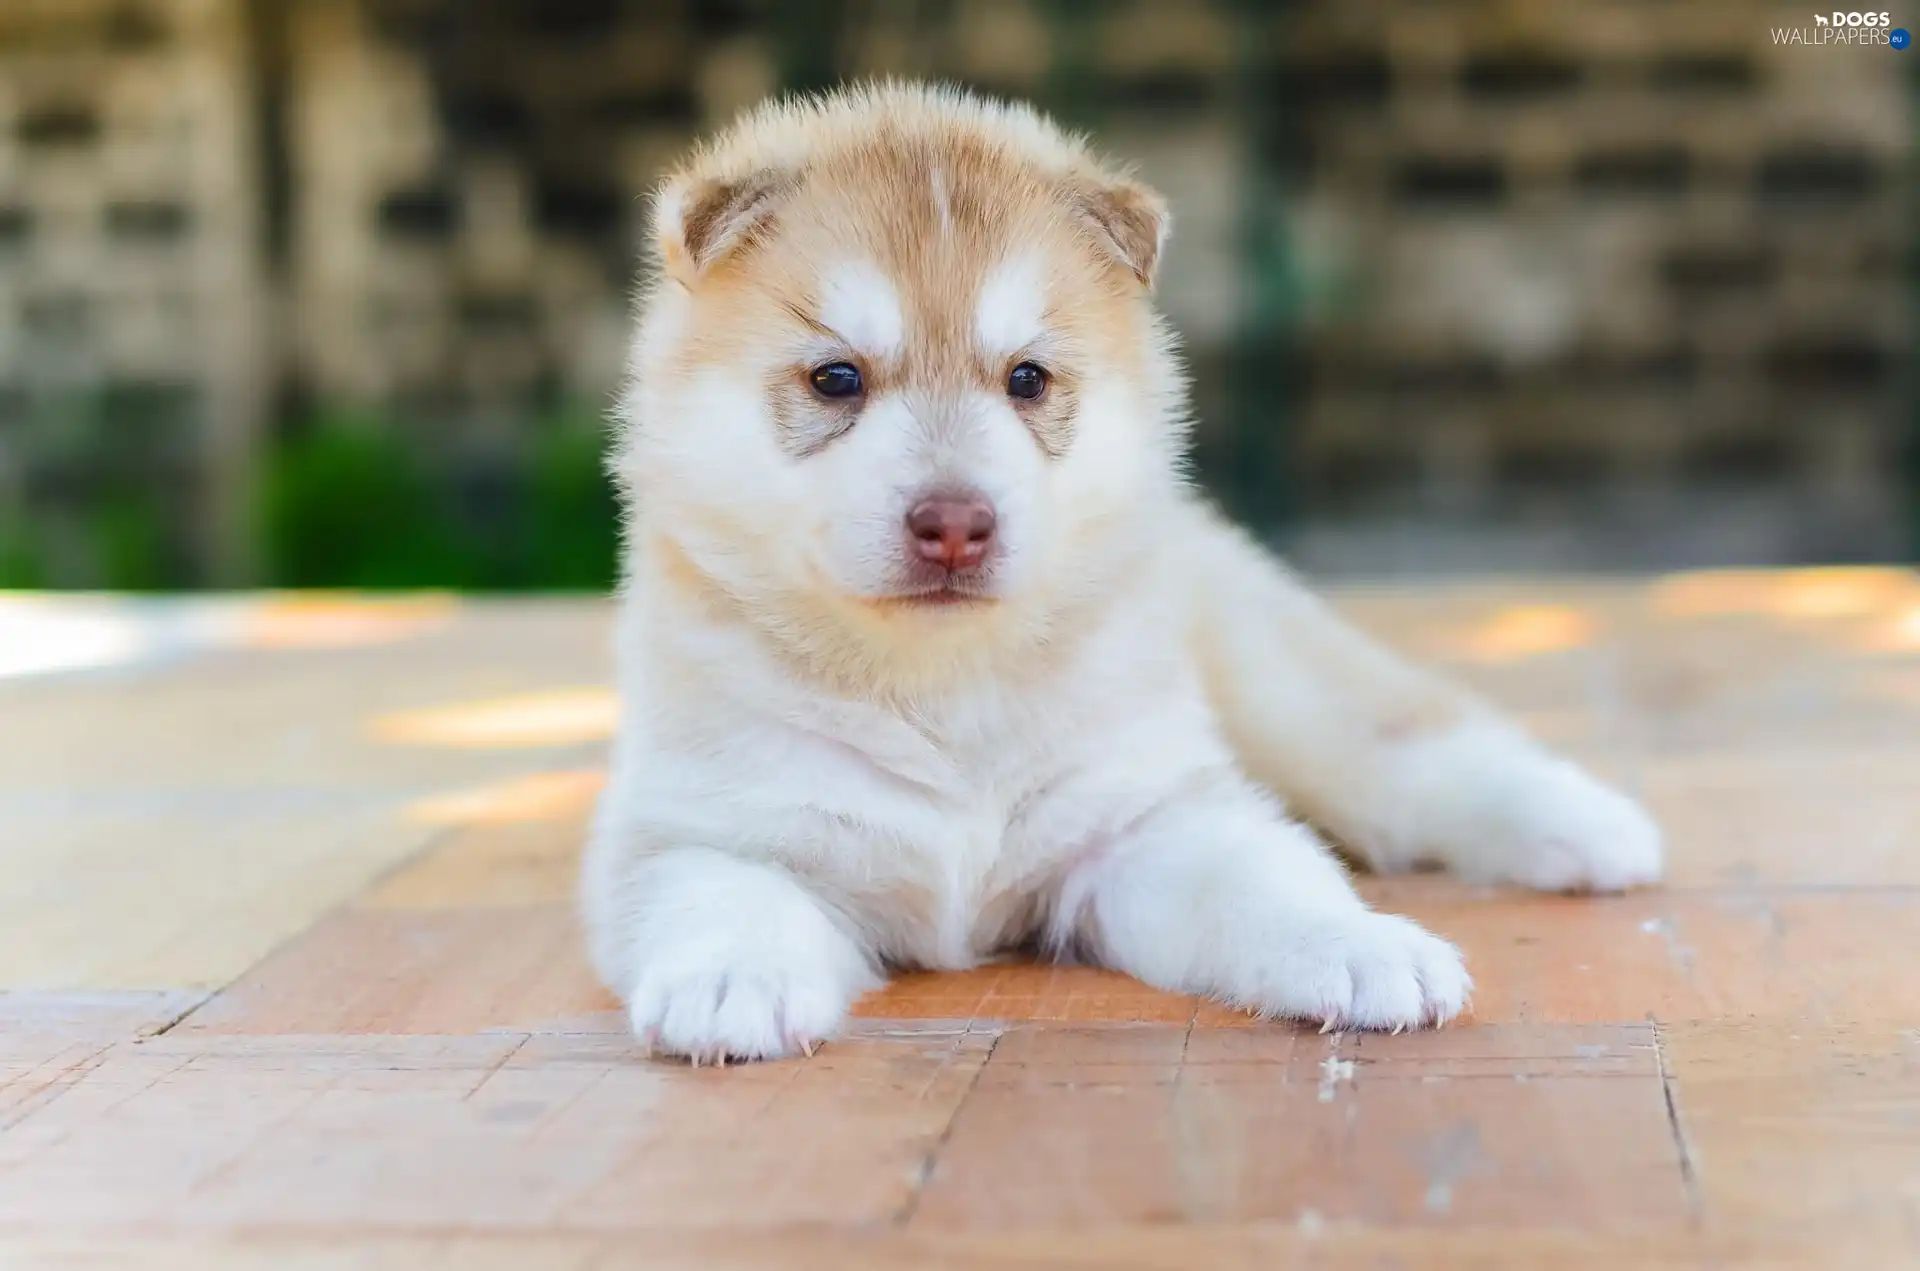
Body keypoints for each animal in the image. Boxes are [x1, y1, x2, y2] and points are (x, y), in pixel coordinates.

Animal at [576, 82, 1658, 1067]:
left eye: (1028, 379)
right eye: (836, 378)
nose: (955, 524)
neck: (943, 689)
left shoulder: (1145, 818)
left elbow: (1270, 881)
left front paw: (1361, 945)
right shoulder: (697, 824)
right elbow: (725, 890)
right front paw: (732, 980)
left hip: (1282, 690)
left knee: (1416, 751)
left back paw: (1594, 829)